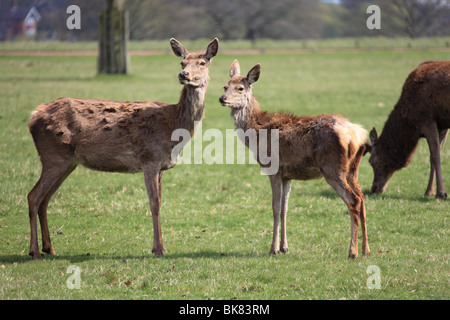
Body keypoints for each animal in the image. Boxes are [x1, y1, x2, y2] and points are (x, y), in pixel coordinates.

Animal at [26, 37, 220, 258]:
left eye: (203, 62)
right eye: (182, 62)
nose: (183, 75)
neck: (173, 126)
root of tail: (33, 116)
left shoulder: (162, 166)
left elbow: (161, 202)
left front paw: (161, 246)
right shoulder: (150, 159)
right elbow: (154, 204)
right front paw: (158, 249)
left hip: (67, 162)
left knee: (45, 199)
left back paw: (49, 247)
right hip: (53, 156)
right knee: (33, 196)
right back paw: (34, 251)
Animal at [218, 60, 370, 258]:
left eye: (240, 88)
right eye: (225, 86)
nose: (222, 98)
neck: (257, 132)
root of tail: (357, 135)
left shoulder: (273, 169)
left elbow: (275, 208)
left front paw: (273, 249)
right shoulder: (287, 175)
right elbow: (284, 208)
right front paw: (285, 247)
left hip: (332, 168)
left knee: (353, 200)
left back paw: (352, 251)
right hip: (352, 169)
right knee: (362, 198)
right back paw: (366, 249)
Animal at [368, 60, 448, 199]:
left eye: (371, 161)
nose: (374, 189)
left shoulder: (426, 119)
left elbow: (435, 155)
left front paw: (441, 193)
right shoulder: (442, 124)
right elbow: (433, 156)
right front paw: (429, 191)